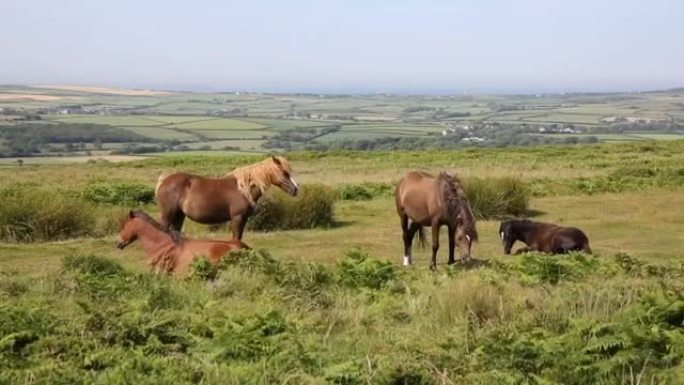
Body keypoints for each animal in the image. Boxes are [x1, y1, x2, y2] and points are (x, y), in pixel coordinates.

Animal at [156, 154, 298, 238]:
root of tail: (164, 181)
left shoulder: (243, 219)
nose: (296, 190)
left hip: (179, 215)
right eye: (285, 173)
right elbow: (236, 238)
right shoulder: (237, 218)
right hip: (168, 213)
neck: (243, 189)